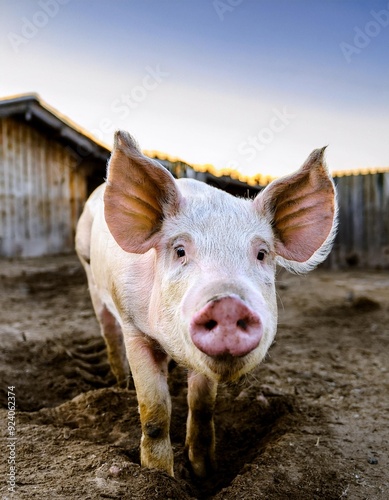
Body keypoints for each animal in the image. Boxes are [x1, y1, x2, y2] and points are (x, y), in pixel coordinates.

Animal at [76, 131, 336, 478]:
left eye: (262, 254)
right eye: (180, 250)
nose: (227, 304)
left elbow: (201, 406)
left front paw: (204, 472)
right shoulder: (133, 327)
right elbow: (155, 411)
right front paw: (160, 476)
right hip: (91, 279)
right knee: (108, 333)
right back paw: (120, 384)